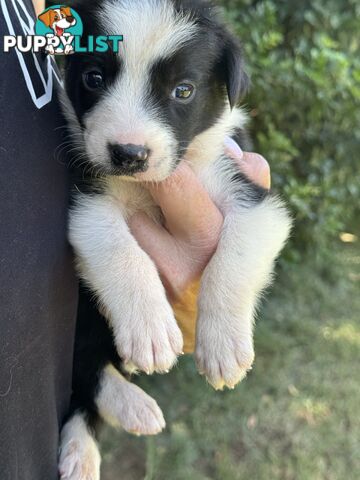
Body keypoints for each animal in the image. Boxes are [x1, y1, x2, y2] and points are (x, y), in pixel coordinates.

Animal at [57, 0, 292, 478]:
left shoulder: (254, 200)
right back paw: (114, 419)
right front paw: (150, 331)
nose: (128, 154)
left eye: (183, 91)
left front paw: (223, 346)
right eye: (94, 78)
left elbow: (231, 260)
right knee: (83, 362)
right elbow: (120, 252)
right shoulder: (88, 201)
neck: (149, 187)